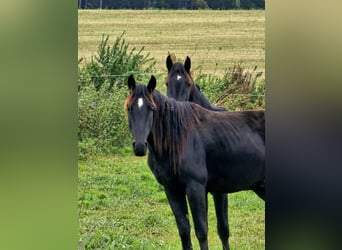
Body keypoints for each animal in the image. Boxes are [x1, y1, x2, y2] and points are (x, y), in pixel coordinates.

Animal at [125, 74, 264, 250]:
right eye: (129, 108)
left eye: (152, 109)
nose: (140, 146)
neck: (177, 139)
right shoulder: (172, 189)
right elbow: (184, 230)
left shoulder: (195, 188)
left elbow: (202, 231)